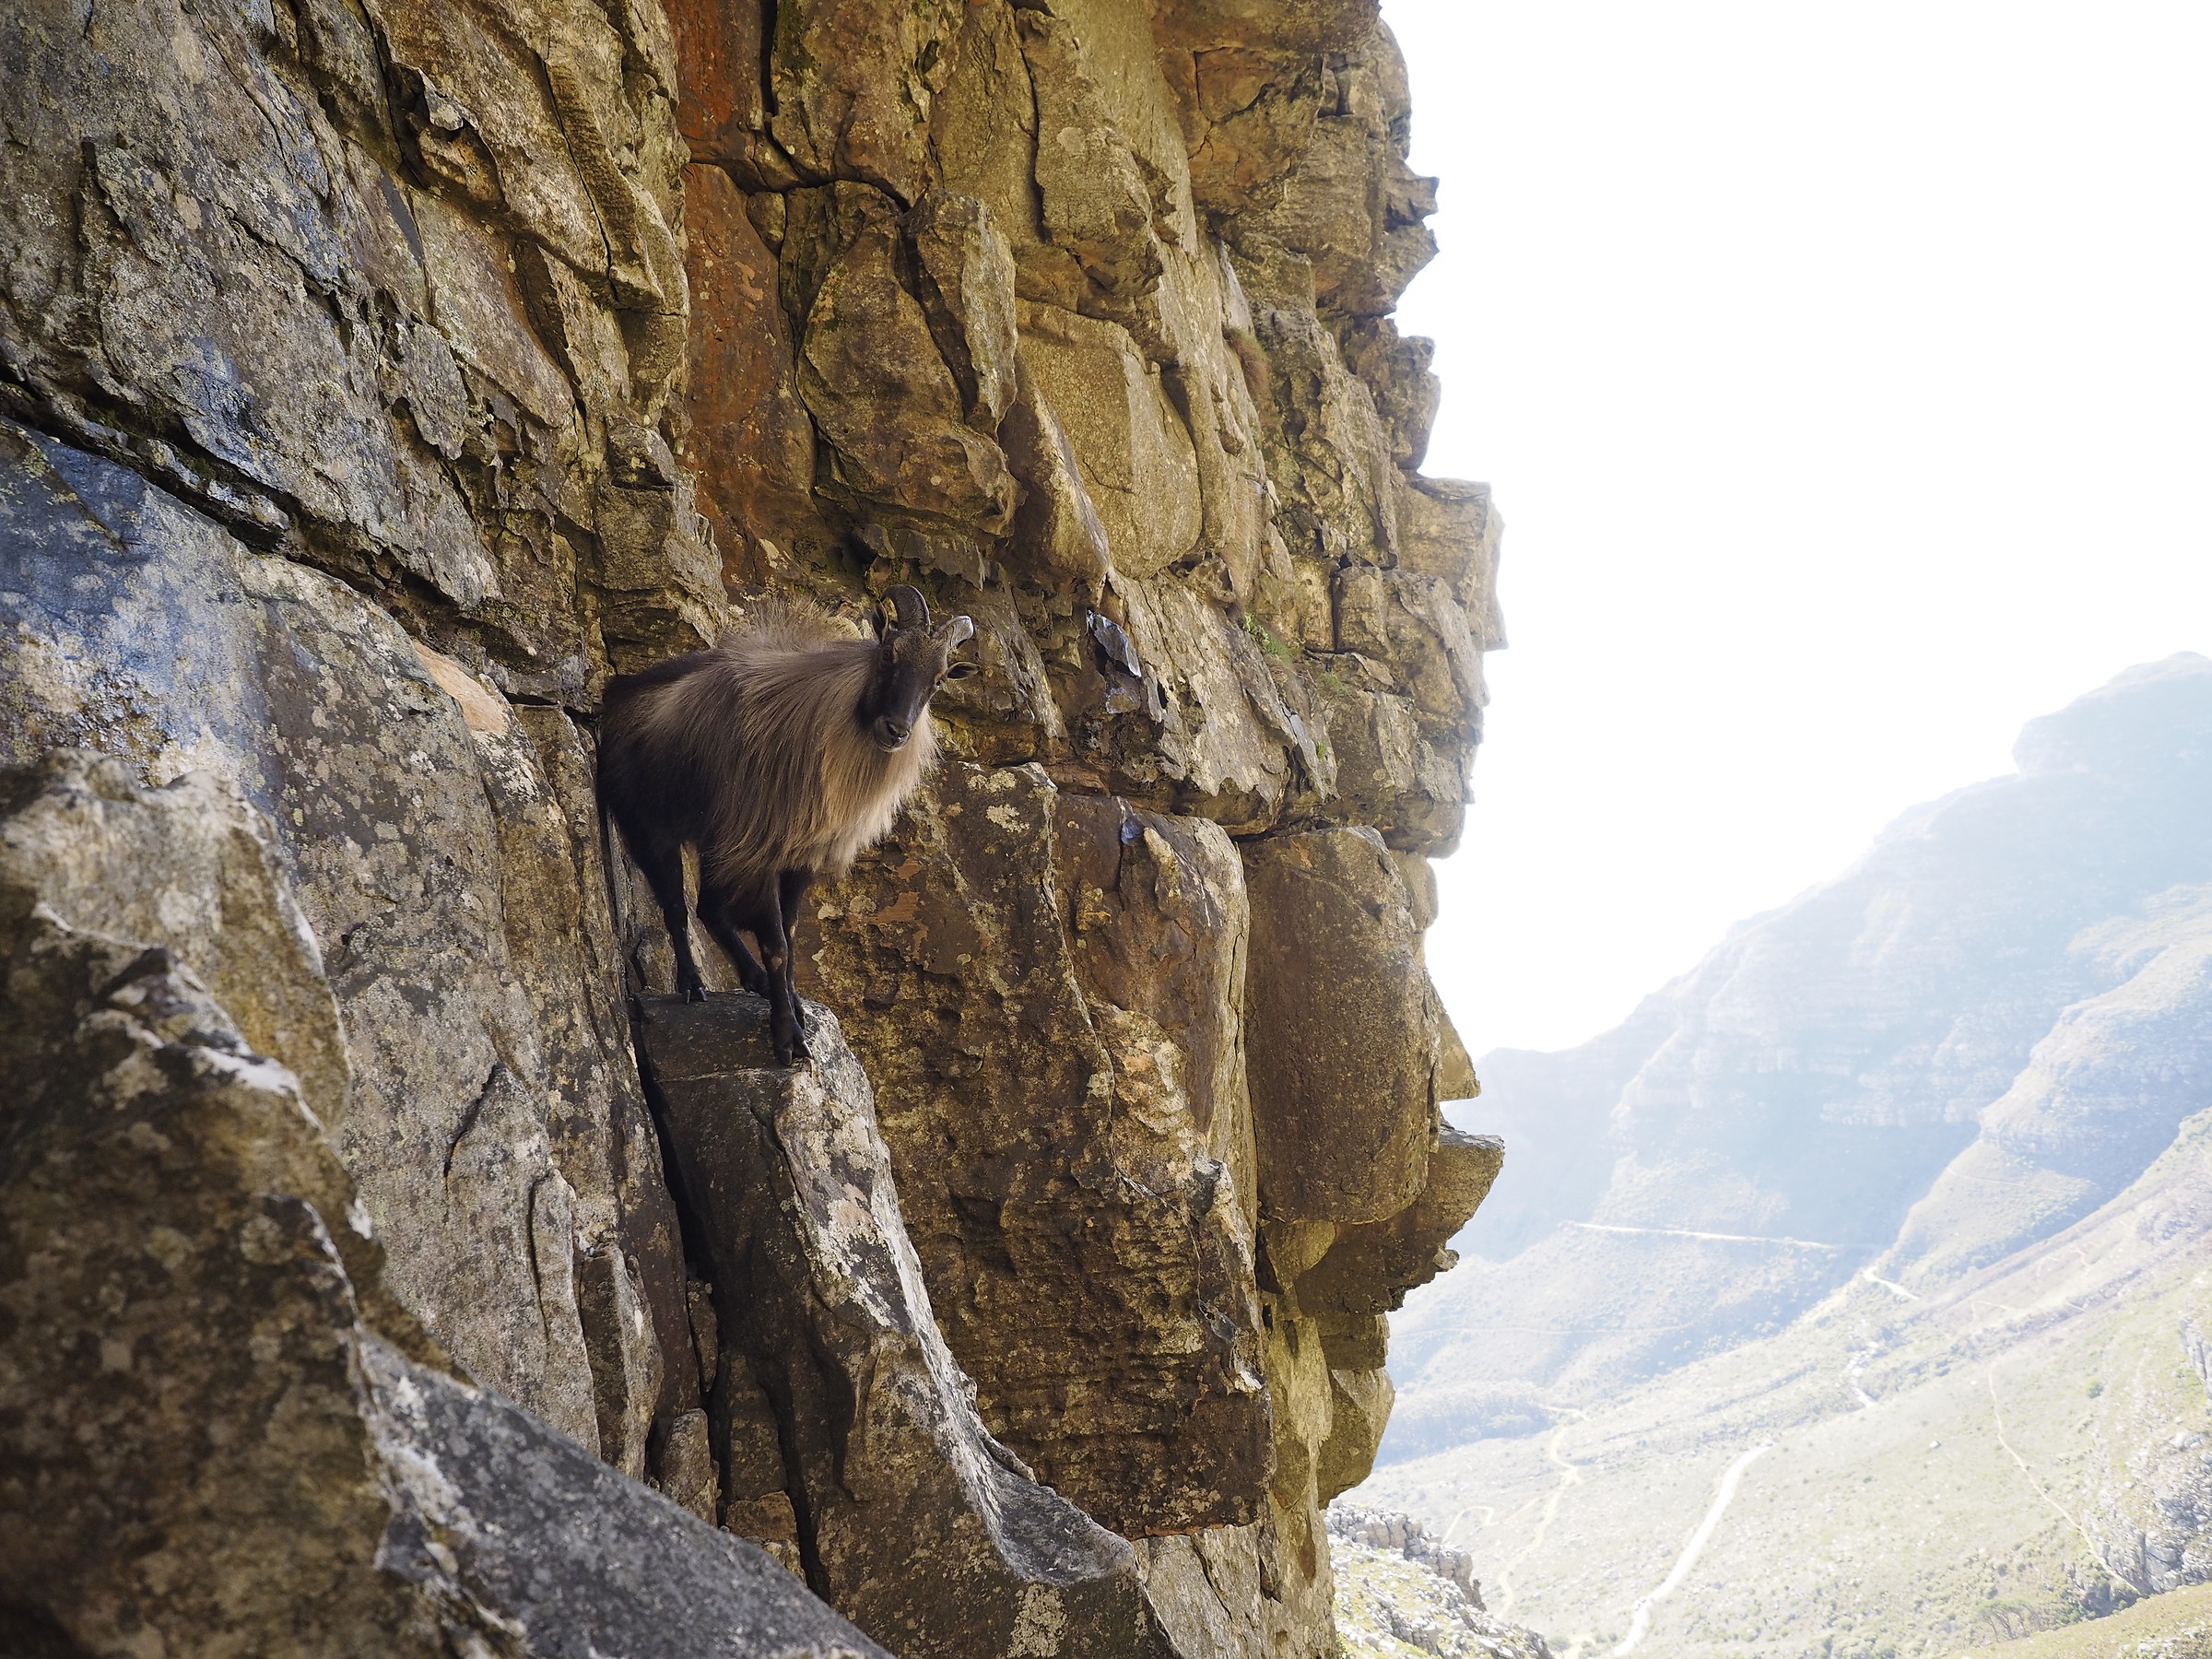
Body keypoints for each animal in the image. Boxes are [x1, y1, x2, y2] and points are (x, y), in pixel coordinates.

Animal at [598, 584, 975, 1063]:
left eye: (940, 678)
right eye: (889, 653)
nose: (896, 731)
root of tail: (615, 695)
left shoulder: (796, 859)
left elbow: (792, 938)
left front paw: (794, 1005)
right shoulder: (759, 853)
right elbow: (776, 944)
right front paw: (788, 1037)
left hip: (716, 845)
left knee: (709, 909)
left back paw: (753, 980)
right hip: (650, 830)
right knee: (678, 909)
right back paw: (693, 984)